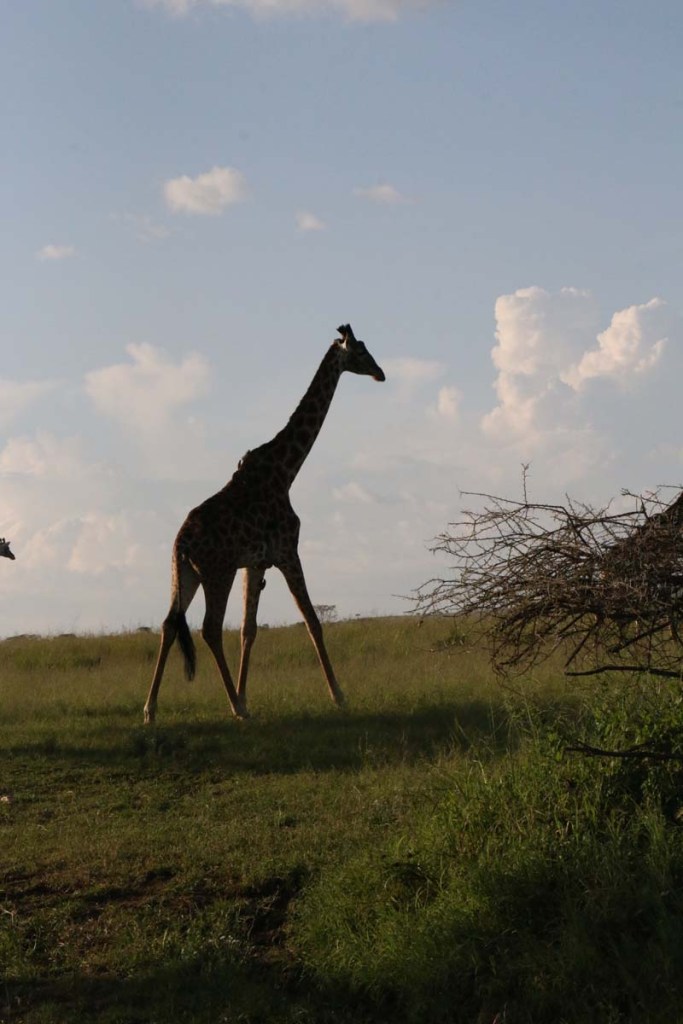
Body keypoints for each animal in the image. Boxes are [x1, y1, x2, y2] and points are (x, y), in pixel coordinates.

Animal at [144, 324, 385, 724]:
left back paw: (151, 709)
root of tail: (181, 544)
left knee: (167, 624)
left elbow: (249, 629)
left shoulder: (255, 563)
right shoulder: (288, 552)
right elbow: (313, 621)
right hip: (217, 572)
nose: (381, 373)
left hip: (184, 574)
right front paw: (339, 695)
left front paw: (246, 693)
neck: (286, 471)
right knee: (209, 628)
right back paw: (236, 709)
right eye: (362, 351)